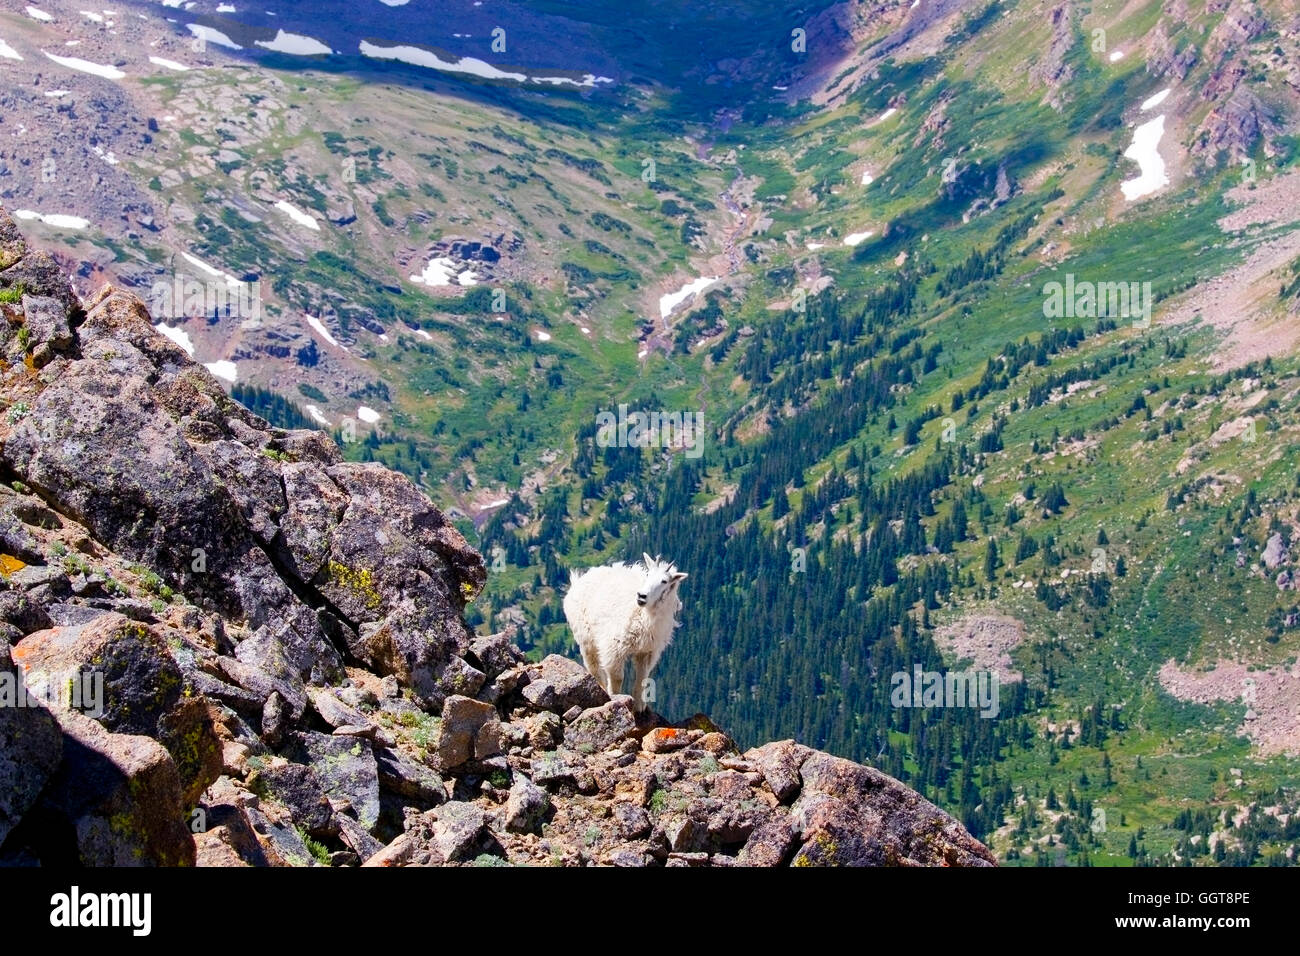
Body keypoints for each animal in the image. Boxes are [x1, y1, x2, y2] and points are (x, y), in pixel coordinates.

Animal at [569, 554, 691, 712]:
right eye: (648, 575)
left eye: (664, 581)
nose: (641, 596)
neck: (644, 616)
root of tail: (579, 579)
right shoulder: (614, 646)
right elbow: (617, 678)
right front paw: (615, 699)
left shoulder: (647, 651)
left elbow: (642, 678)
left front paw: (639, 707)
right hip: (585, 637)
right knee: (593, 667)